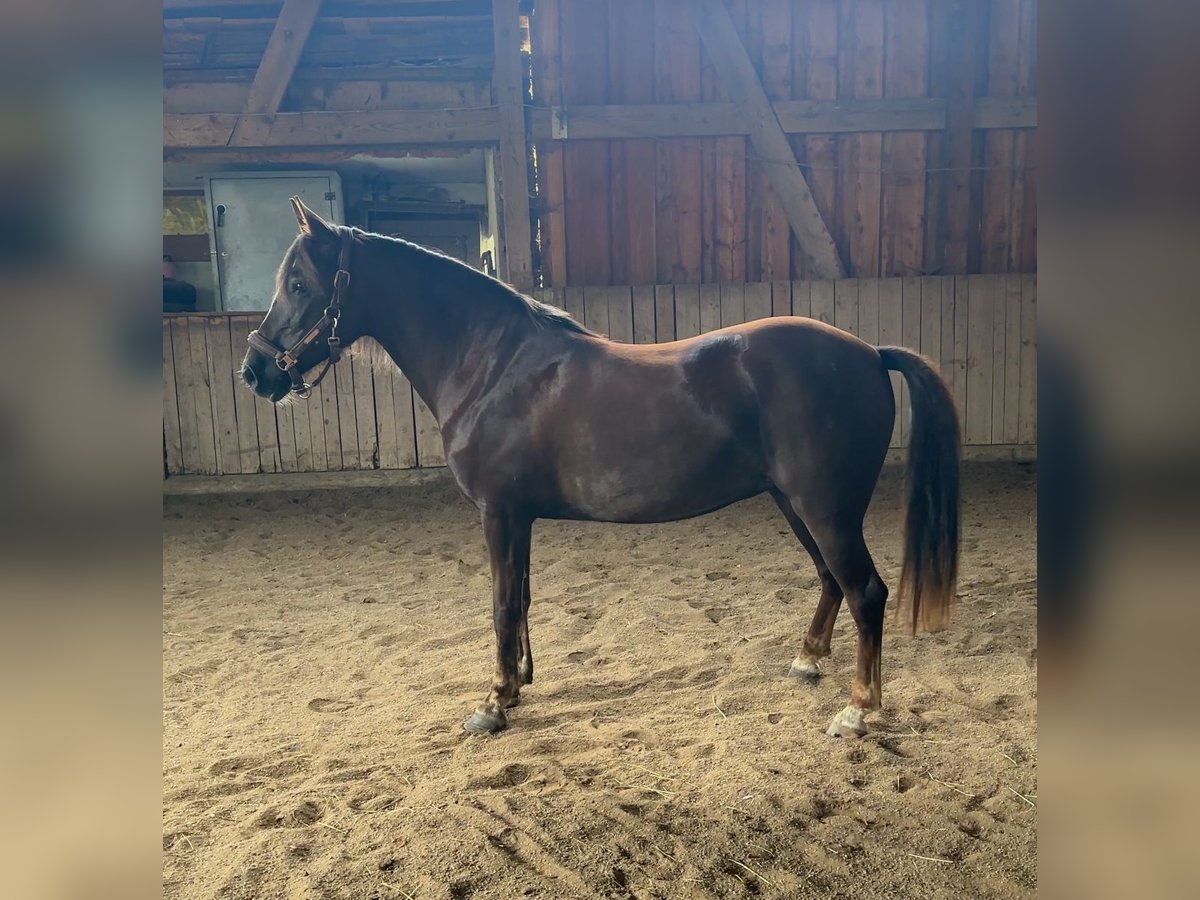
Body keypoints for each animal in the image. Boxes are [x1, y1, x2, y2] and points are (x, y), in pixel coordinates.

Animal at [241, 200, 955, 744]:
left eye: (300, 284)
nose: (255, 371)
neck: (492, 365)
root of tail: (870, 353)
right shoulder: (517, 517)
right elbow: (521, 598)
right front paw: (517, 685)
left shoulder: (499, 513)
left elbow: (502, 604)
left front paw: (492, 704)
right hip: (795, 502)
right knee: (831, 581)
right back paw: (807, 662)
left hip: (824, 508)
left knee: (866, 592)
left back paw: (857, 712)